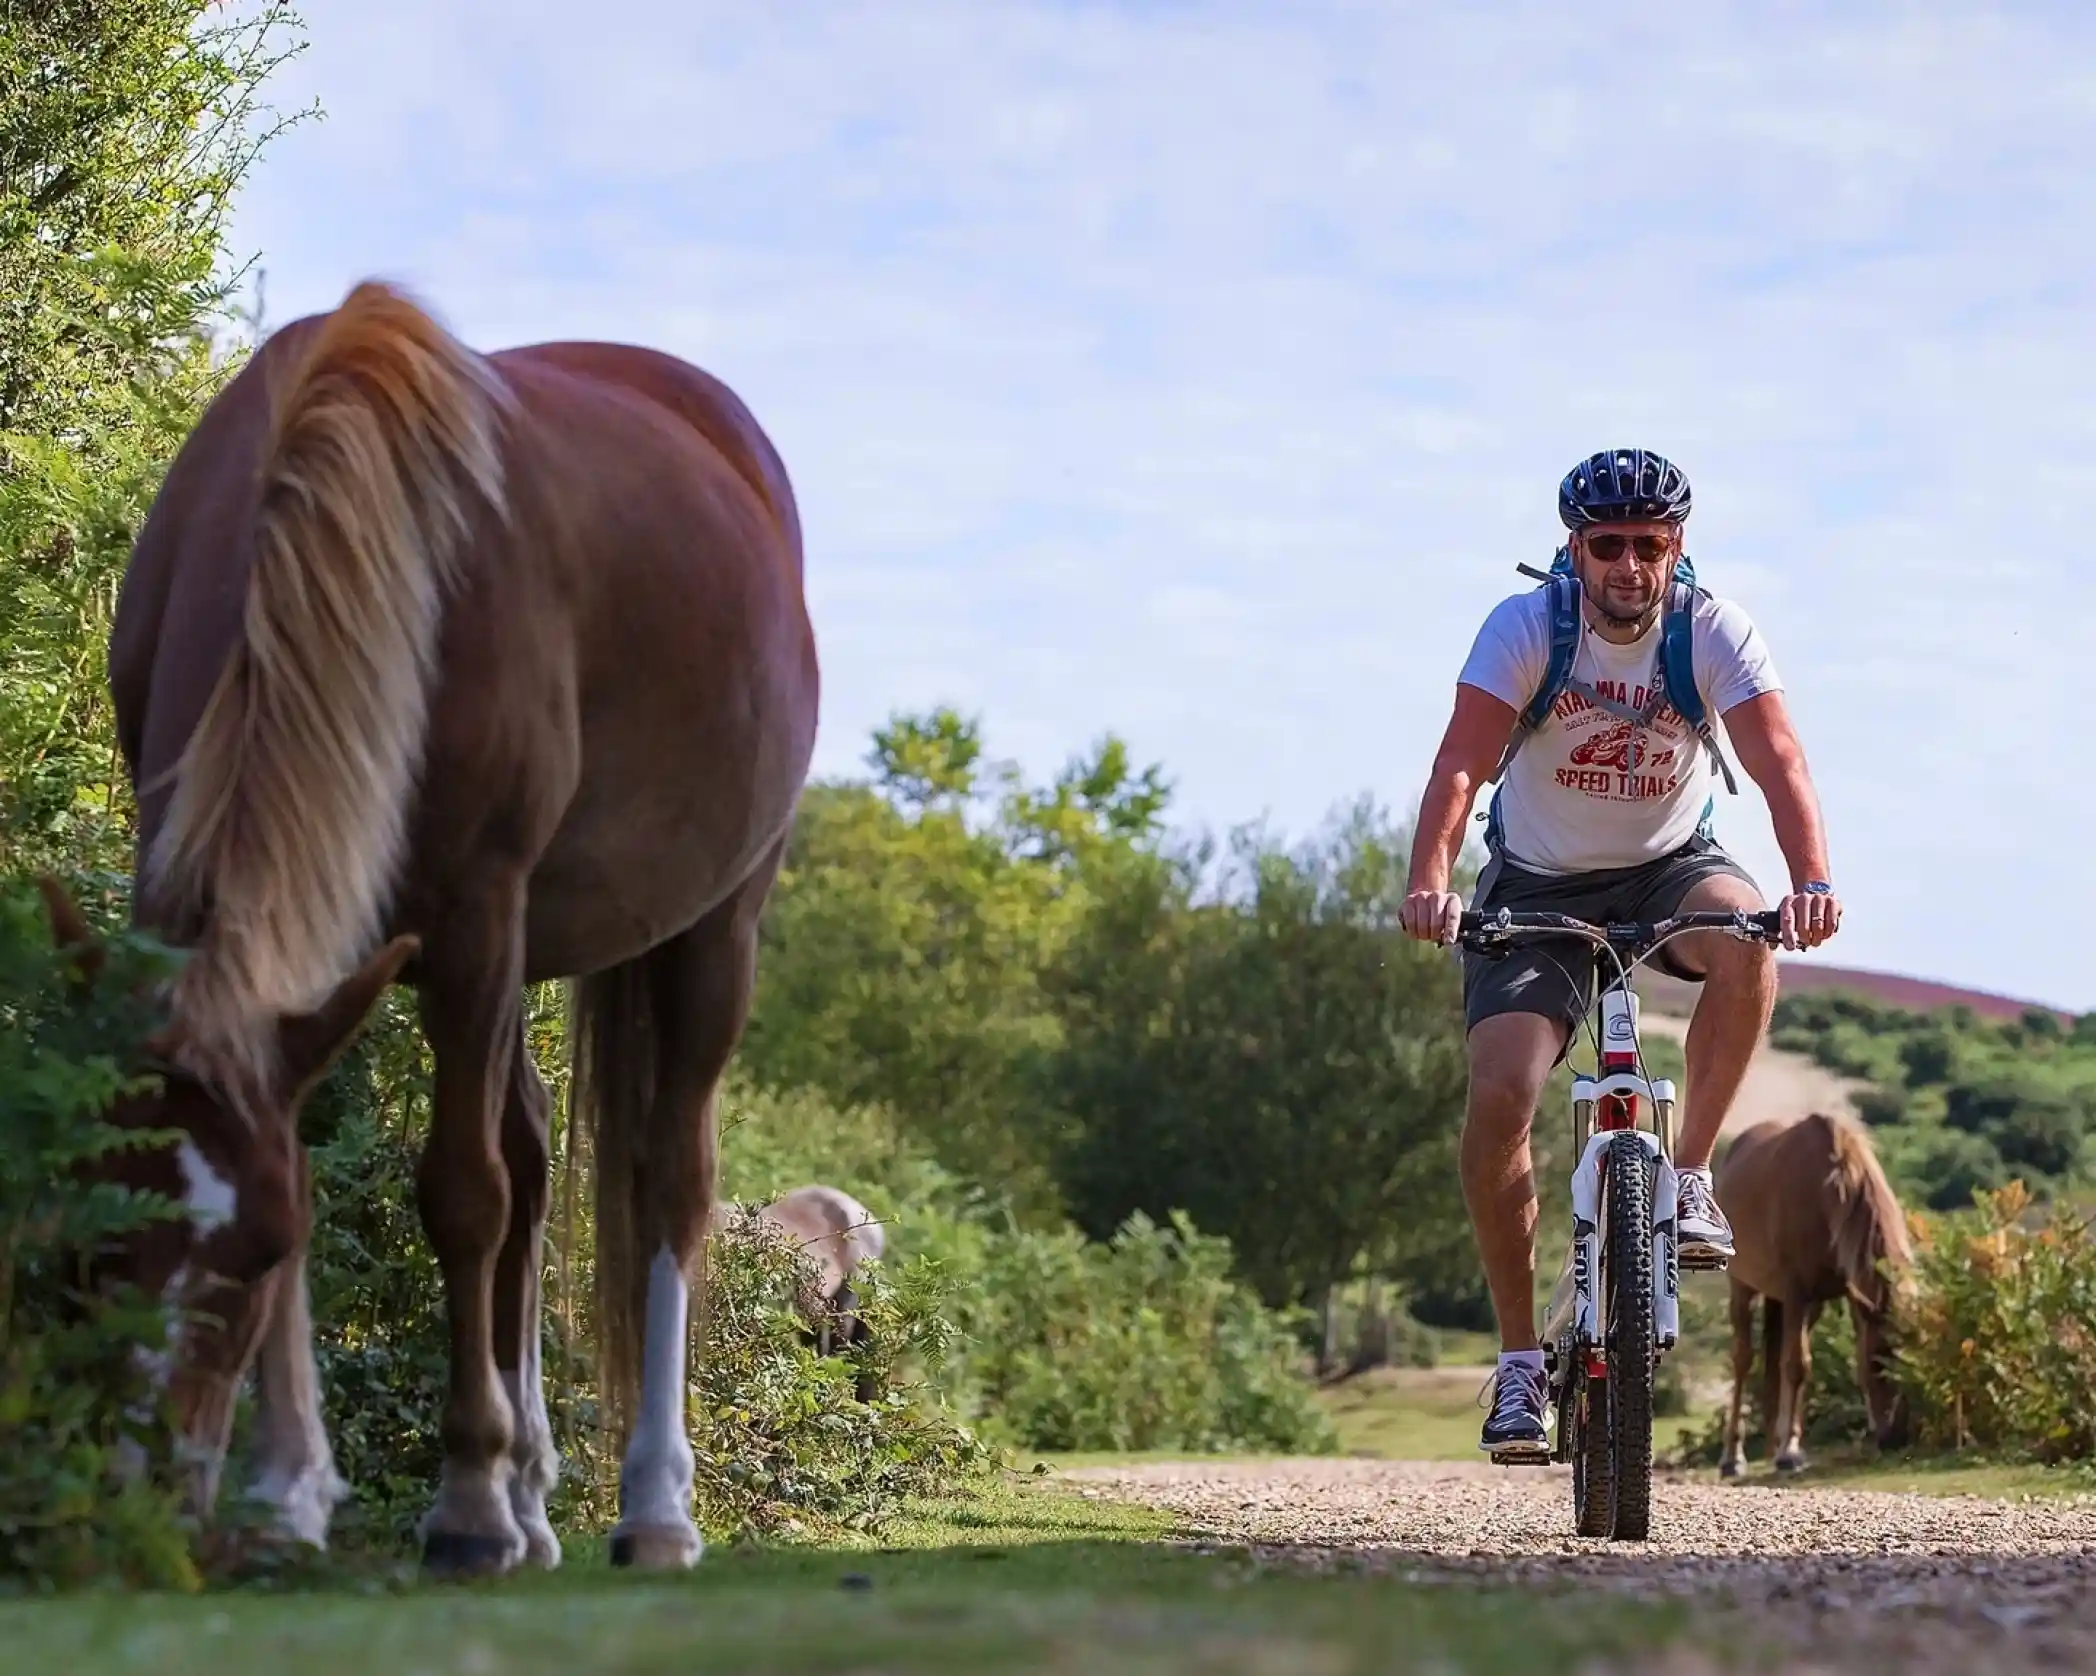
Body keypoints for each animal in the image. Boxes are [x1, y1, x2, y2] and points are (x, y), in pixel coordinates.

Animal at [35, 276, 819, 1579]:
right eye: (95, 1243)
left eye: (248, 1255)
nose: (146, 1506)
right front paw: (290, 1496)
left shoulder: (471, 916)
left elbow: (462, 1193)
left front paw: (462, 1504)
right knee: (538, 1159)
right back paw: (536, 1494)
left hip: (711, 929)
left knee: (668, 1175)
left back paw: (650, 1504)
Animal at [1714, 1111, 1914, 1478]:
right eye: (1879, 1361)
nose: (1896, 1437)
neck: (1828, 1192)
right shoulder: (1796, 1293)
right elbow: (1797, 1365)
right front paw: (1790, 1453)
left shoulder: (1849, 1297)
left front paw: (1788, 1445)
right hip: (1743, 1290)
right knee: (1743, 1360)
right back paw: (1733, 1457)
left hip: (1807, 1307)